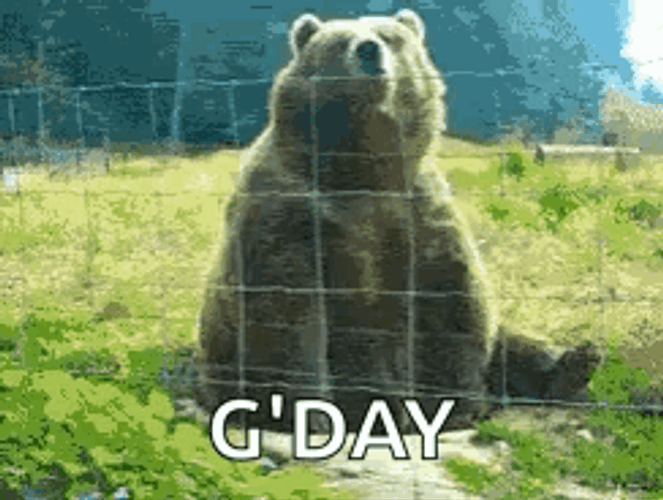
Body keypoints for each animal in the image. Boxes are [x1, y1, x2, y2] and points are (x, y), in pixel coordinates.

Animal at [195, 8, 500, 435]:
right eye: (340, 41)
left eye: (390, 37)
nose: (369, 50)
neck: (360, 166)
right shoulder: (290, 211)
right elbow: (288, 310)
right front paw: (308, 414)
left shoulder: (416, 211)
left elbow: (448, 296)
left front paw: (455, 406)